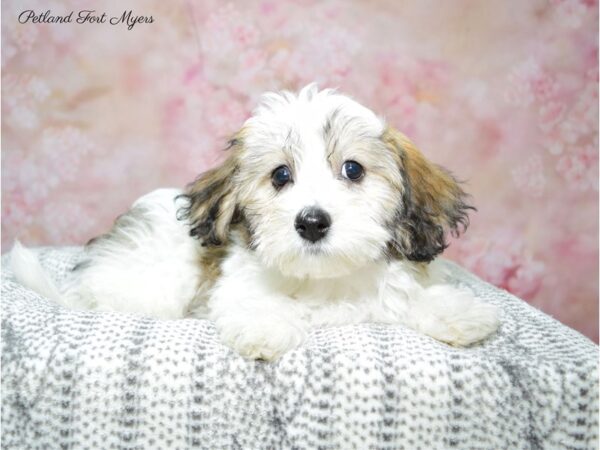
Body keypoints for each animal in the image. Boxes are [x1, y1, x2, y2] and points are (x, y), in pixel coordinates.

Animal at [11, 83, 500, 358]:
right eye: (280, 175)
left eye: (353, 170)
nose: (312, 222)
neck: (324, 277)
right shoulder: (234, 286)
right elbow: (253, 302)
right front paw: (266, 325)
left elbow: (410, 299)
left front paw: (457, 312)